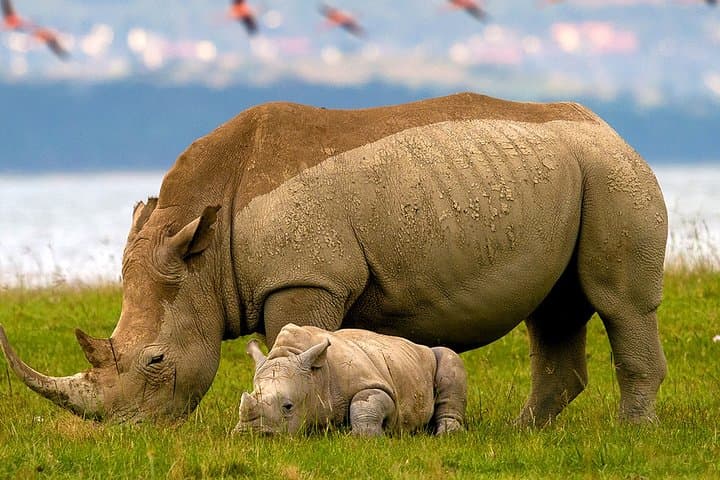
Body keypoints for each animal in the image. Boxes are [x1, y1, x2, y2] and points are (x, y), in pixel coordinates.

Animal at [234, 324, 467, 436]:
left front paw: (363, 437)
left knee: (449, 357)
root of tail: (416, 345)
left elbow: (365, 401)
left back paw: (447, 435)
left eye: (288, 407)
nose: (249, 434)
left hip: (429, 357)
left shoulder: (376, 385)